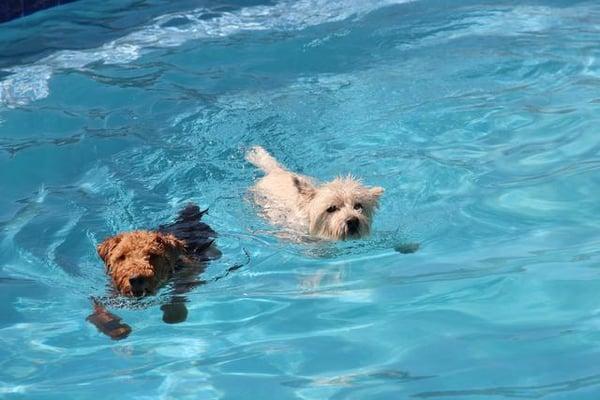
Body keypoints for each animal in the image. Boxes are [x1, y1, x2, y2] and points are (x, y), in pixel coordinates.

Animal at [88, 205, 219, 340]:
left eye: (152, 255)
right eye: (122, 256)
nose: (136, 279)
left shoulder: (187, 273)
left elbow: (177, 293)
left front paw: (173, 313)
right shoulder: (110, 291)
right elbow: (98, 307)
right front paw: (115, 328)